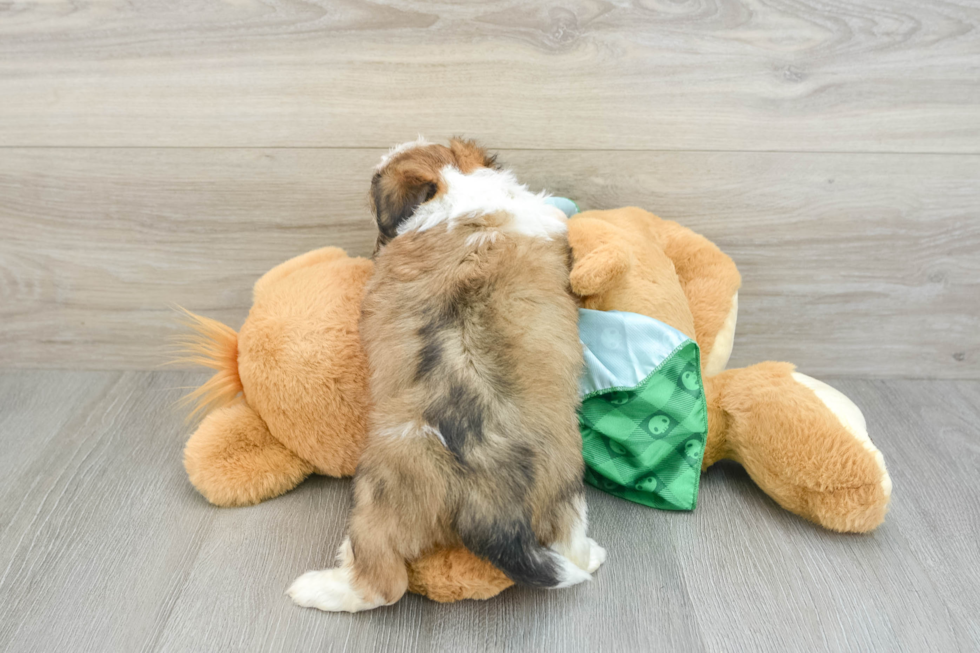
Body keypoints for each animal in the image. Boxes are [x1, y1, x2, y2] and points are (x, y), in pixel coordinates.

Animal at [288, 138, 604, 612]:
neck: (456, 187)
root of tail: (487, 496)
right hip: (564, 488)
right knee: (570, 542)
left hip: (380, 495)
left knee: (383, 583)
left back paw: (321, 586)